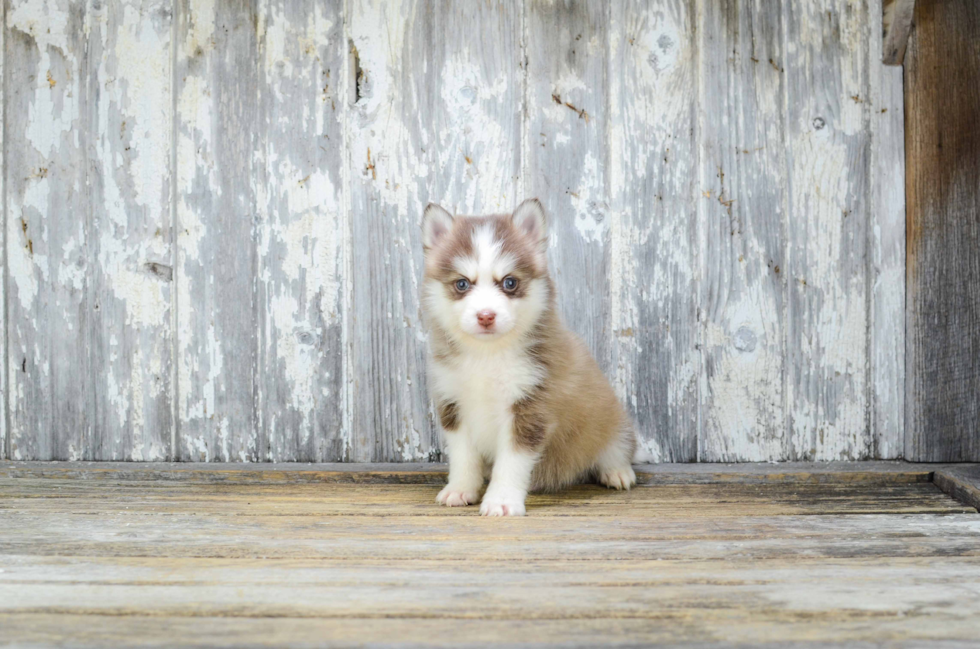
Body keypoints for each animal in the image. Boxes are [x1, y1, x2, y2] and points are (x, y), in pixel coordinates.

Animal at [420, 197, 636, 516]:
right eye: (462, 284)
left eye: (509, 283)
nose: (486, 316)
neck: (487, 356)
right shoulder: (453, 404)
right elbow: (462, 457)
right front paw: (459, 489)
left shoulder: (530, 408)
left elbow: (511, 463)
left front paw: (501, 500)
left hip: (611, 419)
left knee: (614, 448)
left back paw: (618, 472)